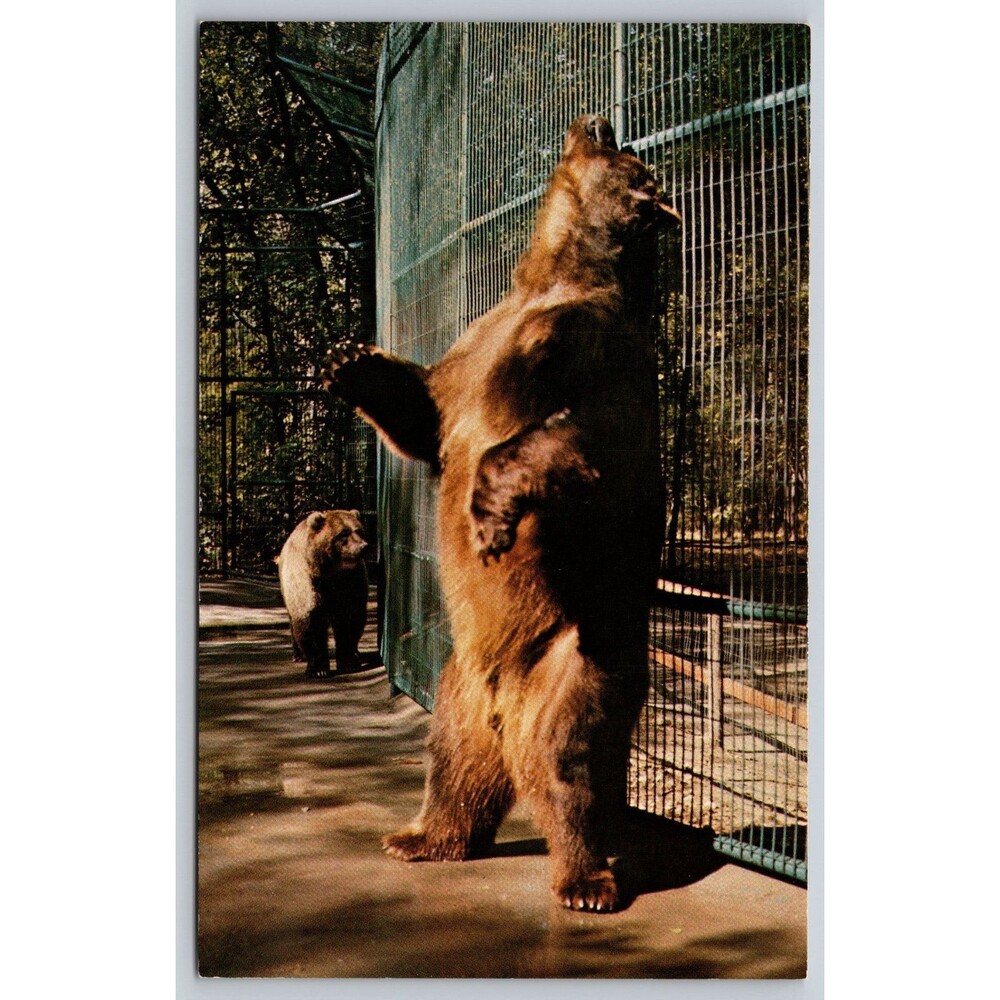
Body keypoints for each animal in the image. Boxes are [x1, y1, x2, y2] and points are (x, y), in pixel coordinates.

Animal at [276, 509, 369, 679]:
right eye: (343, 533)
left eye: (359, 530)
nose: (363, 546)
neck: (330, 572)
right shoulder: (307, 580)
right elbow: (311, 619)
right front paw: (318, 669)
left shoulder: (351, 580)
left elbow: (349, 618)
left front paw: (349, 662)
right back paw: (298, 655)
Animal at [323, 114, 679, 911]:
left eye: (627, 157)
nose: (598, 120)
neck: (551, 278)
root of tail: (505, 716)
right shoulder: (479, 344)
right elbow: (423, 411)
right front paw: (349, 357)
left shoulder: (591, 351)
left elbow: (576, 438)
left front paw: (489, 517)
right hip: (458, 684)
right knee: (452, 765)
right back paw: (421, 837)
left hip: (578, 657)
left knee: (571, 764)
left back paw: (586, 878)